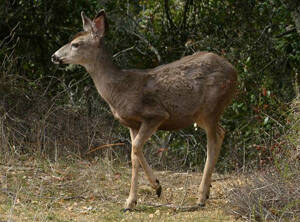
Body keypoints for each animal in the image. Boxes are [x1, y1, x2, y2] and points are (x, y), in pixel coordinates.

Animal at [52, 10, 239, 211]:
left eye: (76, 44)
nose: (54, 56)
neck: (118, 90)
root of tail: (234, 71)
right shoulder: (132, 124)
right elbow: (134, 155)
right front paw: (140, 196)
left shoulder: (155, 115)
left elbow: (135, 147)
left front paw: (148, 190)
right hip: (201, 115)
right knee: (222, 132)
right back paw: (207, 191)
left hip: (211, 107)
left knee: (212, 143)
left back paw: (201, 197)